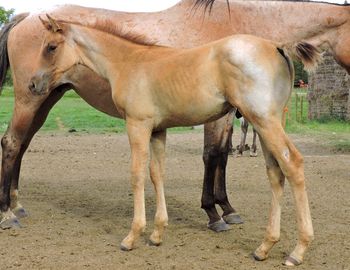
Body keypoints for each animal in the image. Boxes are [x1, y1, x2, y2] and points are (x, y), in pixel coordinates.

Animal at [0, 0, 348, 232]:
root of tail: (25, 17)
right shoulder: (218, 115)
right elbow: (212, 155)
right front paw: (213, 213)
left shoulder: (228, 113)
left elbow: (222, 156)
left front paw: (227, 208)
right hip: (31, 99)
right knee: (12, 143)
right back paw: (7, 214)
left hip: (47, 97)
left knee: (23, 145)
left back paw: (17, 204)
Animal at [30, 16, 320, 266]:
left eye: (51, 47)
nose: (33, 84)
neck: (128, 62)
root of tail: (276, 45)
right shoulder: (158, 130)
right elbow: (157, 174)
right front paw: (157, 234)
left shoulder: (137, 125)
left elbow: (137, 174)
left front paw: (132, 236)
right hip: (266, 122)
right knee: (275, 172)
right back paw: (264, 247)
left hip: (263, 120)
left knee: (293, 164)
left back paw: (298, 251)